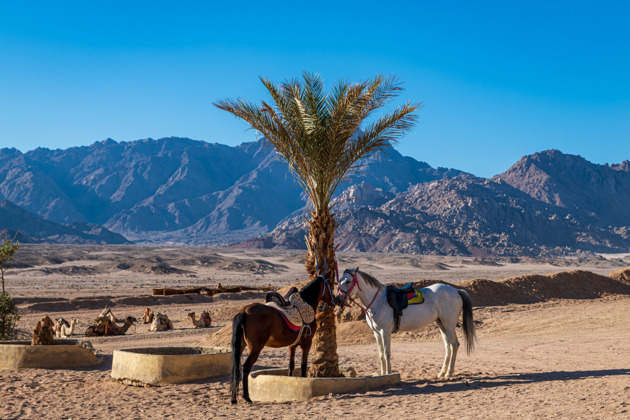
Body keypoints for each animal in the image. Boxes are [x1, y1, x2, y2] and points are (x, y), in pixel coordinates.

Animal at [231, 274, 336, 406]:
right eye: (330, 284)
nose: (335, 300)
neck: (306, 303)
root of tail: (244, 311)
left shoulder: (292, 345)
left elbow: (291, 365)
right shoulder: (306, 343)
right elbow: (303, 365)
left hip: (240, 346)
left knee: (235, 368)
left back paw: (233, 399)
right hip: (255, 348)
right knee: (245, 368)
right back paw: (246, 397)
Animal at [338, 270, 476, 378]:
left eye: (348, 281)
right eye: (339, 281)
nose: (339, 299)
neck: (378, 300)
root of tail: (456, 290)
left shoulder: (385, 331)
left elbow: (387, 353)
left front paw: (388, 373)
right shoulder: (376, 333)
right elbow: (381, 354)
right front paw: (382, 374)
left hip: (449, 324)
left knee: (454, 344)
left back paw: (449, 372)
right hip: (441, 324)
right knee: (448, 346)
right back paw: (442, 372)